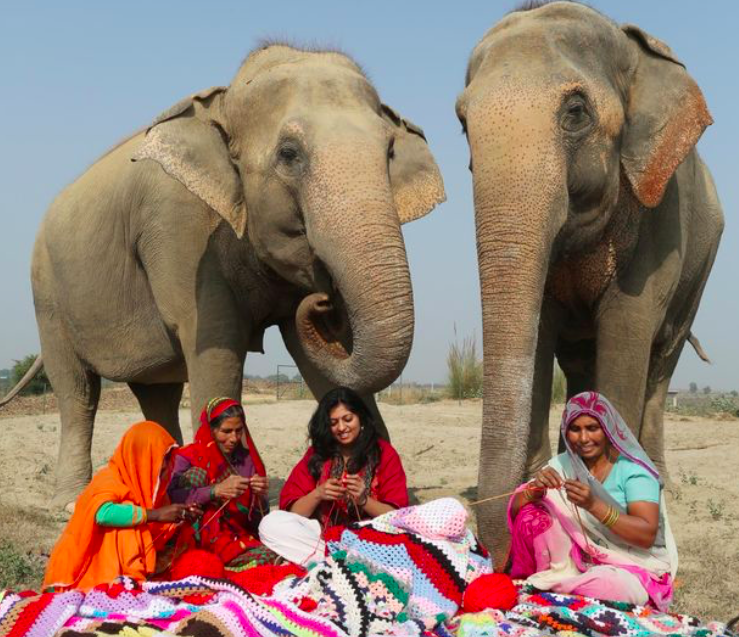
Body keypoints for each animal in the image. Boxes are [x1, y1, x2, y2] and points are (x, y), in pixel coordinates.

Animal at [28, 42, 446, 504]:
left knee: (158, 394)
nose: (324, 300)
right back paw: (71, 499)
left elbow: (322, 360)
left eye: (389, 152)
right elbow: (217, 347)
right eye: (289, 153)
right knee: (77, 391)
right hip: (47, 294)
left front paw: (393, 504)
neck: (225, 101)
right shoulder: (181, 232)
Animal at [456, 2, 724, 560]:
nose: (498, 544)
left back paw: (662, 478)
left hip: (705, 262)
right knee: (580, 363)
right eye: (463, 123)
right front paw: (543, 479)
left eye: (576, 112)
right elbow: (540, 330)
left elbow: (627, 326)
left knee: (661, 362)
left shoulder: (661, 212)